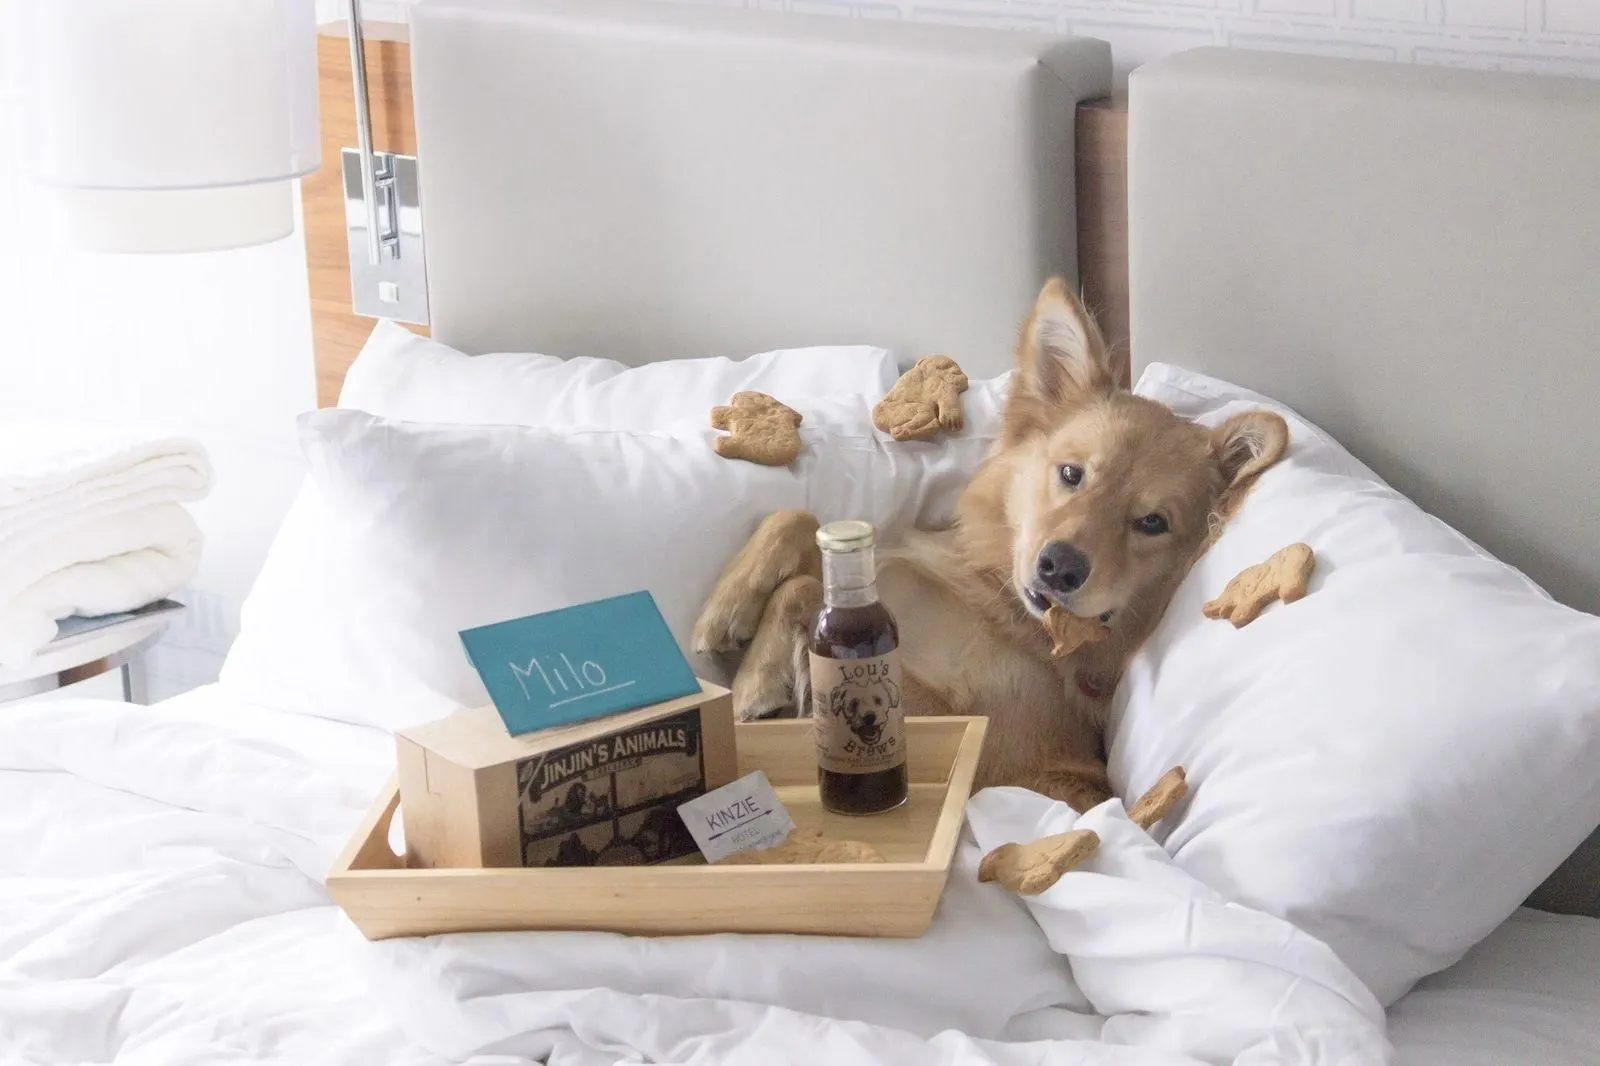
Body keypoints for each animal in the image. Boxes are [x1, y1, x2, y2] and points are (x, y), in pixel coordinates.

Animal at [691, 278, 1286, 809]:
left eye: (1153, 523)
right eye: (1071, 474)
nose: (1060, 567)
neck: (990, 596)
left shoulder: (979, 745)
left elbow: (813, 592)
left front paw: (755, 688)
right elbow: (801, 518)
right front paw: (730, 614)